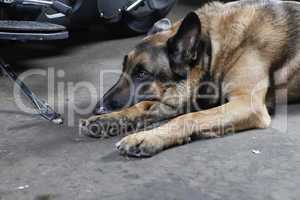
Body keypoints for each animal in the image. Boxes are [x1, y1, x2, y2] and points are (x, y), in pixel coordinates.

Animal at [80, 0, 300, 156]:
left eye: (142, 74)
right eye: (123, 69)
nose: (99, 108)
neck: (212, 48)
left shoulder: (247, 104)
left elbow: (188, 117)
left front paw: (147, 137)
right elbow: (144, 105)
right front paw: (108, 120)